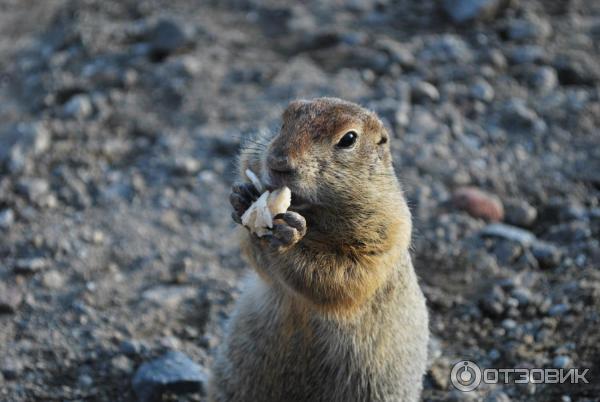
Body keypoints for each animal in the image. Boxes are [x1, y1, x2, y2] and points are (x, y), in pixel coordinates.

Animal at [209, 97, 428, 402]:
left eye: (349, 139)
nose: (278, 162)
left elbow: (348, 275)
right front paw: (241, 197)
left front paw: (289, 237)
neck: (313, 213)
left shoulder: (387, 230)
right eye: (283, 121)